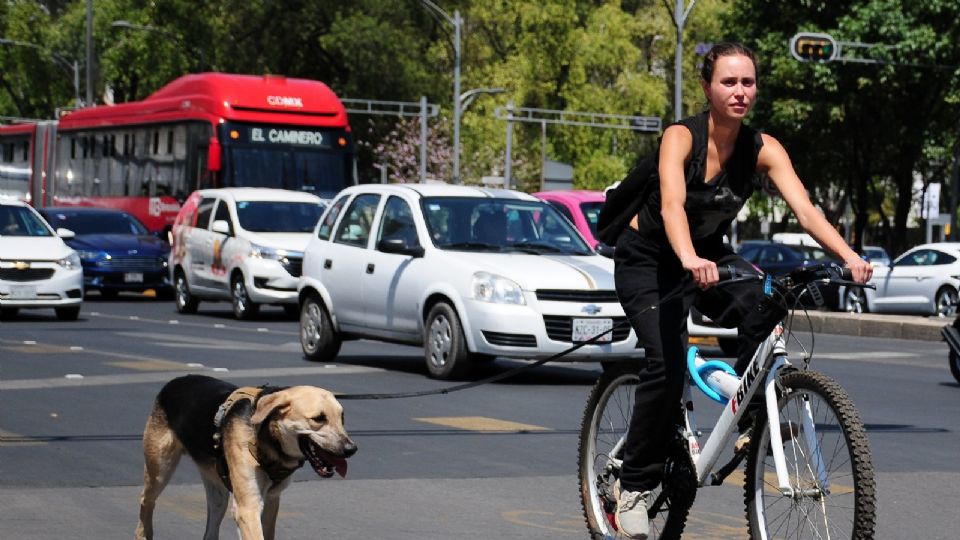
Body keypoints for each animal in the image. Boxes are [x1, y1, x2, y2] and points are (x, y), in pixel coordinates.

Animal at [134, 376, 356, 540]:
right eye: (318, 419)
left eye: (342, 418)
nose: (351, 449)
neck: (268, 436)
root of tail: (175, 381)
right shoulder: (247, 507)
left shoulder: (271, 502)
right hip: (160, 470)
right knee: (146, 499)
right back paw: (143, 534)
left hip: (218, 494)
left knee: (210, 530)